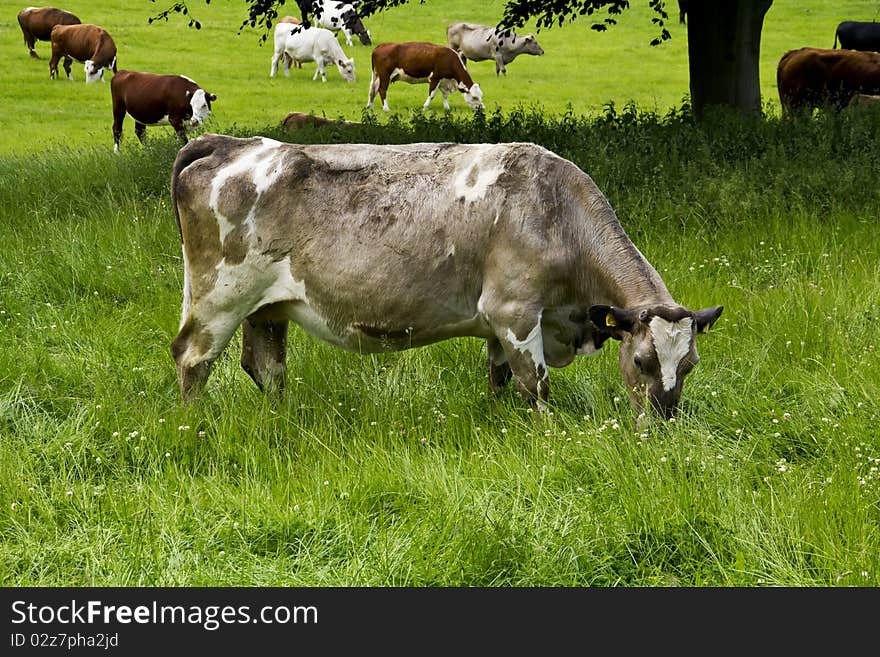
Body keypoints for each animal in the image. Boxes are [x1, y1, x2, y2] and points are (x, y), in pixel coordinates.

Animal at [167, 134, 720, 420]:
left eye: (689, 364)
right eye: (643, 360)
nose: (664, 420)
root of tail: (229, 142)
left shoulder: (501, 324)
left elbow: (500, 377)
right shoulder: (514, 310)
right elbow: (535, 385)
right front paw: (546, 435)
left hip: (266, 307)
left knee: (266, 367)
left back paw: (280, 421)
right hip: (219, 298)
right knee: (193, 359)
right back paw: (193, 426)